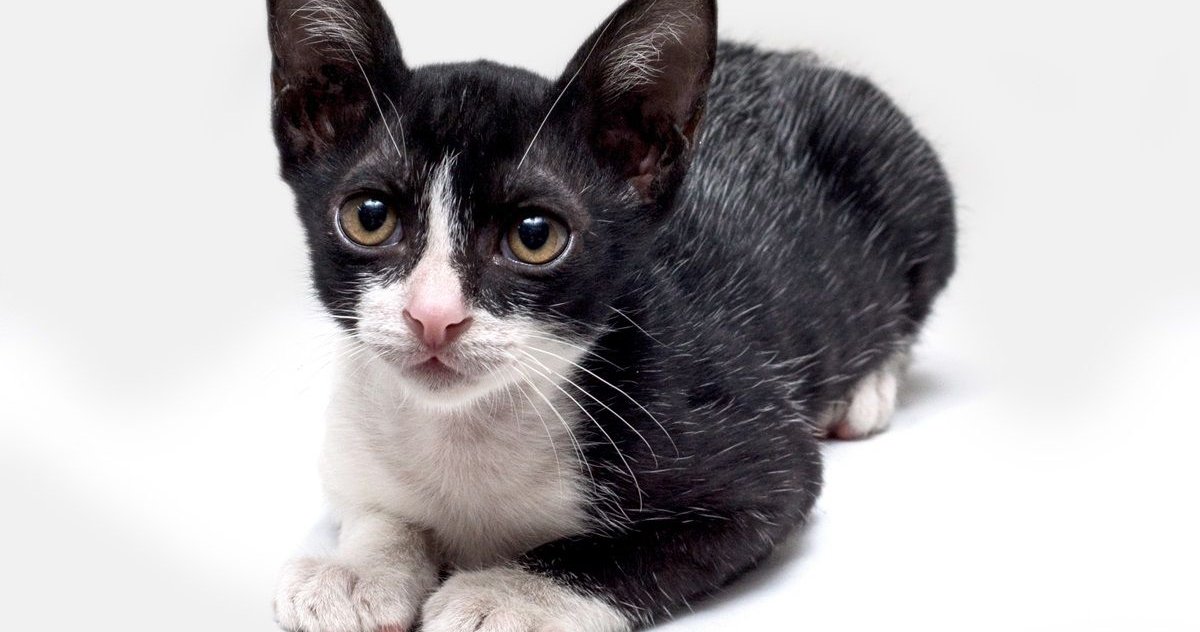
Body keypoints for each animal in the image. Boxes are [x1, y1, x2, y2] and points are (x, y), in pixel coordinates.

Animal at [265, 1, 955, 632]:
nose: (434, 317)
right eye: (369, 217)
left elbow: (624, 551)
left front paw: (507, 594)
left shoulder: (761, 457)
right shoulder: (353, 441)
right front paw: (357, 571)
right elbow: (376, 507)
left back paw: (866, 389)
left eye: (535, 236)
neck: (468, 426)